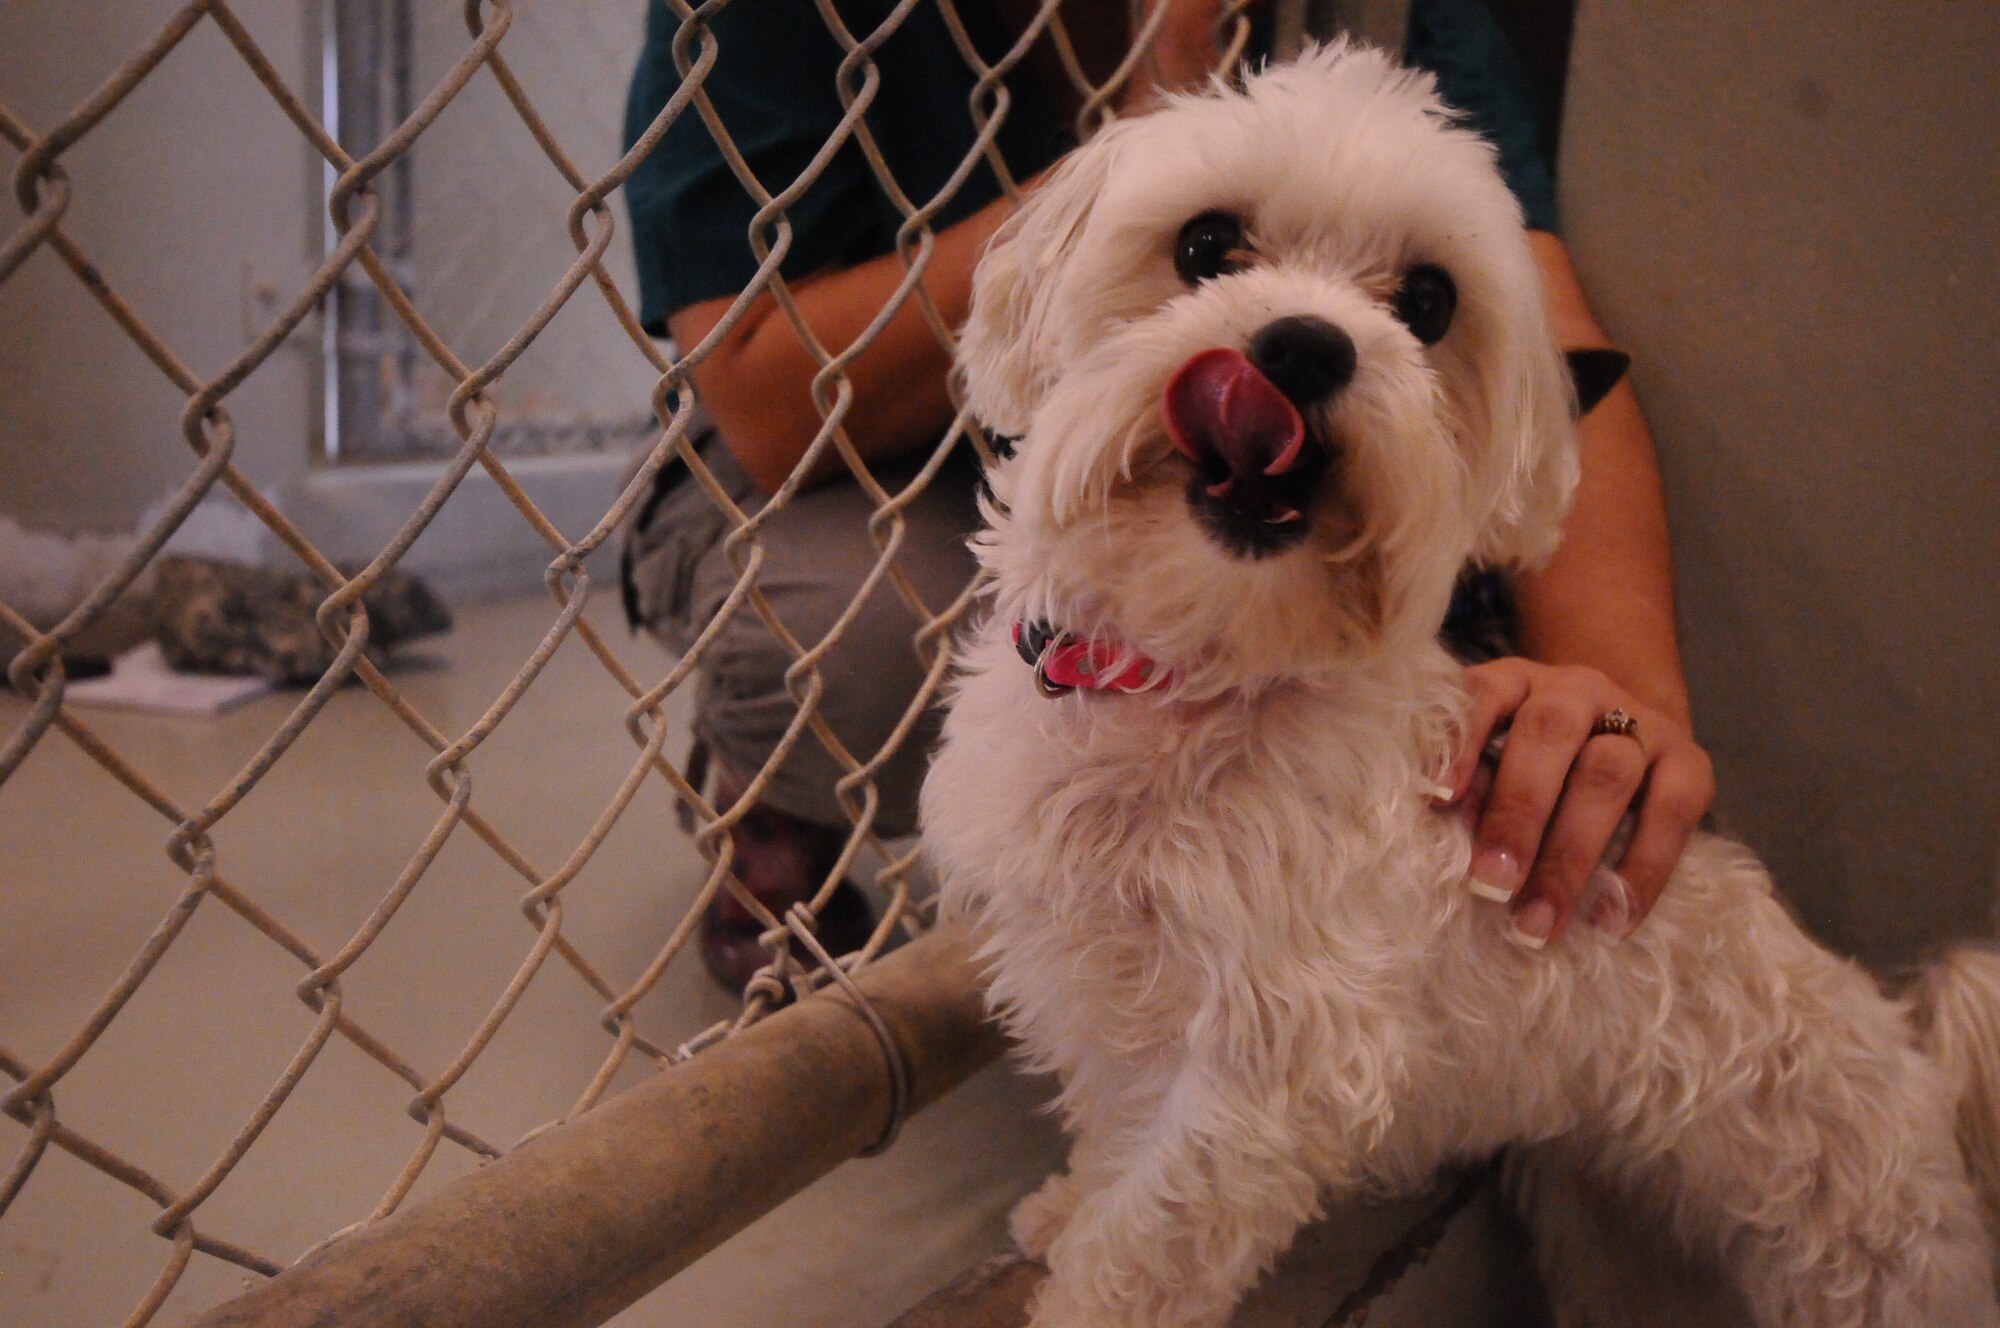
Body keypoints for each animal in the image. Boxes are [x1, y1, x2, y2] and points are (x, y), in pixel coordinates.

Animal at [928, 41, 2000, 1328]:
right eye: (1204, 243)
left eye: (1427, 303)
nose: (1303, 347)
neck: (1187, 675)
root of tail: (1912, 1057)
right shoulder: (1097, 986)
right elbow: (1107, 1133)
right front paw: (1064, 1210)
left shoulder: (1270, 1069)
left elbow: (1150, 1235)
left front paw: (1083, 1283)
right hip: (1615, 1244)